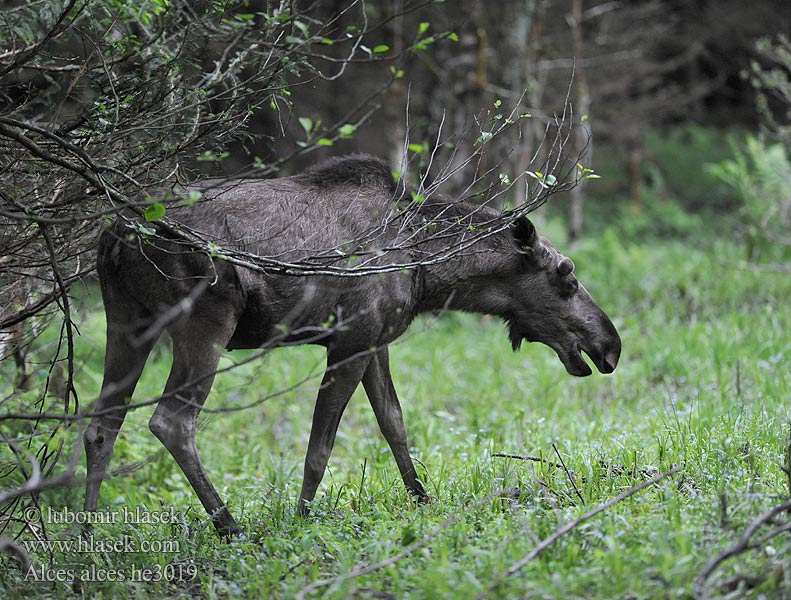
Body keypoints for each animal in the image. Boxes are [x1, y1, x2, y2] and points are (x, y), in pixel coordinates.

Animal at [85, 154, 620, 536]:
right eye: (566, 276)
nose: (609, 345)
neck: (427, 271)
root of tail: (114, 234)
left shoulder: (375, 343)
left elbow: (394, 424)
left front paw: (423, 499)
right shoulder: (349, 340)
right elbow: (320, 447)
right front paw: (302, 518)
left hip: (128, 321)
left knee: (101, 426)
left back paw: (88, 532)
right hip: (204, 324)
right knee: (171, 422)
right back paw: (229, 525)